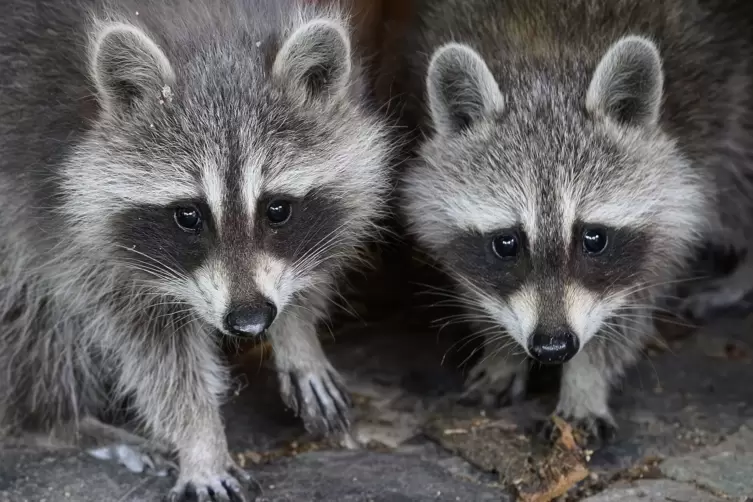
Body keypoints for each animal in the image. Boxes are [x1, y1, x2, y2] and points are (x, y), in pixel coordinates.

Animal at [0, 0, 388, 496]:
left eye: (277, 209)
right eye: (188, 215)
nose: (250, 321)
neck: (213, 34)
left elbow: (329, 242)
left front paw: (299, 334)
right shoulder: (68, 222)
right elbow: (156, 351)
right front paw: (200, 438)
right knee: (34, 318)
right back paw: (57, 420)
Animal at [396, 0, 752, 442]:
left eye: (593, 238)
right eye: (507, 243)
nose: (553, 347)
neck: (548, 62)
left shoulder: (676, 195)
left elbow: (629, 307)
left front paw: (585, 380)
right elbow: (477, 283)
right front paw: (502, 350)